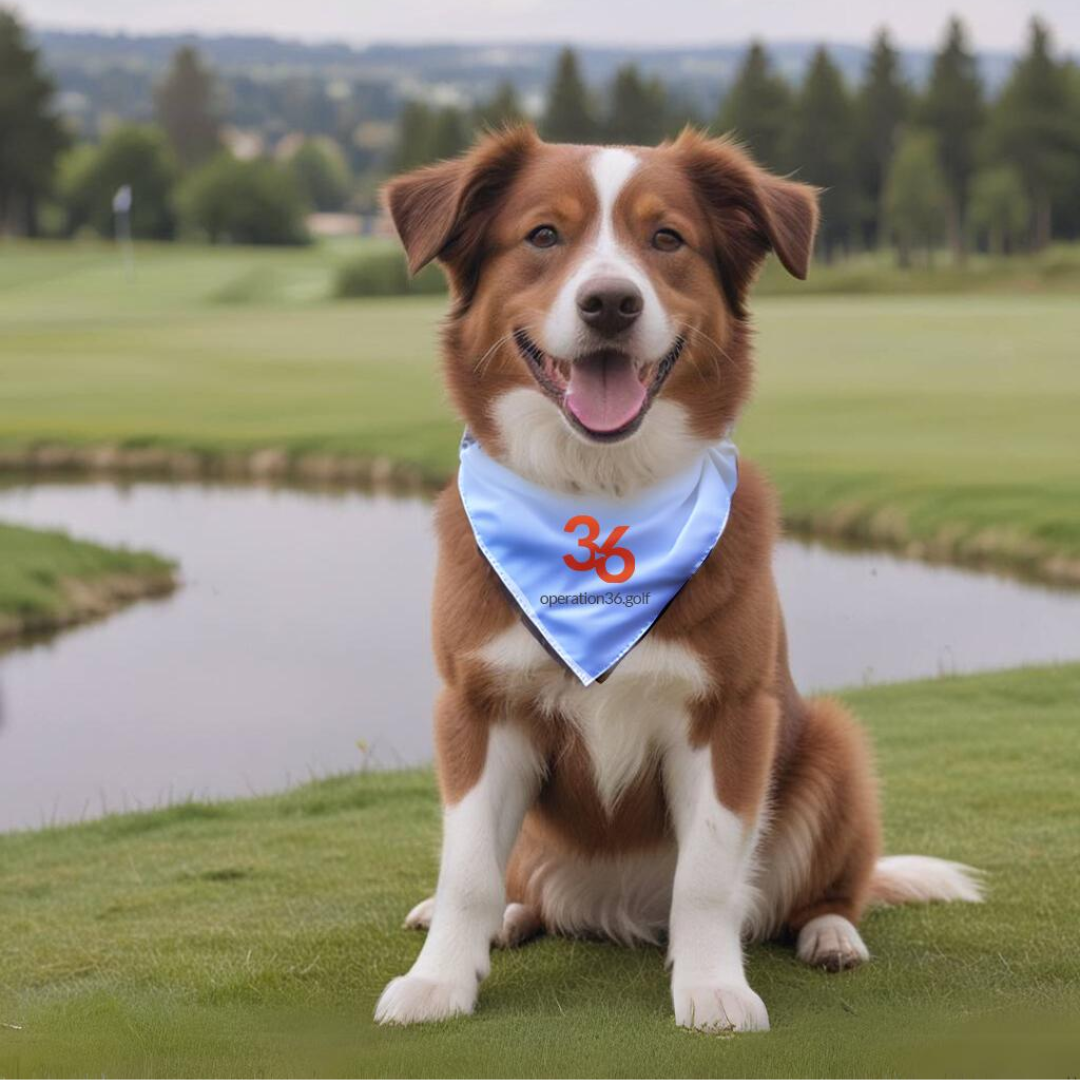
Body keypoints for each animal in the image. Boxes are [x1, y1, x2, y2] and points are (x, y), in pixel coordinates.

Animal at [375, 124, 984, 1028]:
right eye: (543, 235)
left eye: (667, 239)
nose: (610, 304)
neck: (600, 493)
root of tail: (616, 911)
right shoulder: (477, 707)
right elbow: (468, 871)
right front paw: (440, 979)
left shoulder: (732, 716)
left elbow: (706, 878)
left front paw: (712, 988)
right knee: (521, 889)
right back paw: (515, 918)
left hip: (832, 744)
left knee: (824, 892)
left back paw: (831, 935)